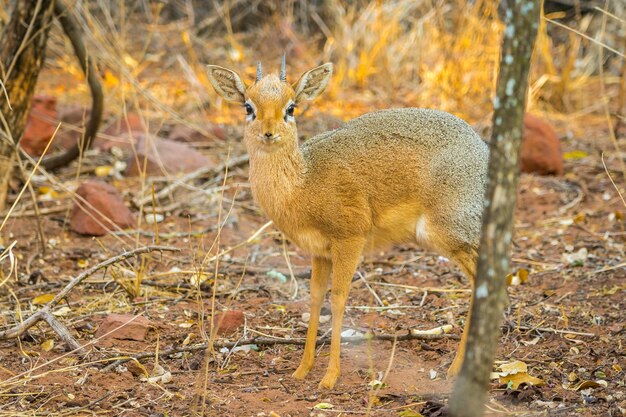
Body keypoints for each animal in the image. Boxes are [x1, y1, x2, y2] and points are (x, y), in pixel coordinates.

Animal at [206, 57, 488, 388]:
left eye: (291, 107)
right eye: (248, 106)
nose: (268, 133)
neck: (303, 182)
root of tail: (483, 151)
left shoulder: (350, 240)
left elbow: (339, 299)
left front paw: (330, 377)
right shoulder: (319, 252)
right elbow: (315, 298)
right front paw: (302, 369)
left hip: (449, 234)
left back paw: (457, 369)